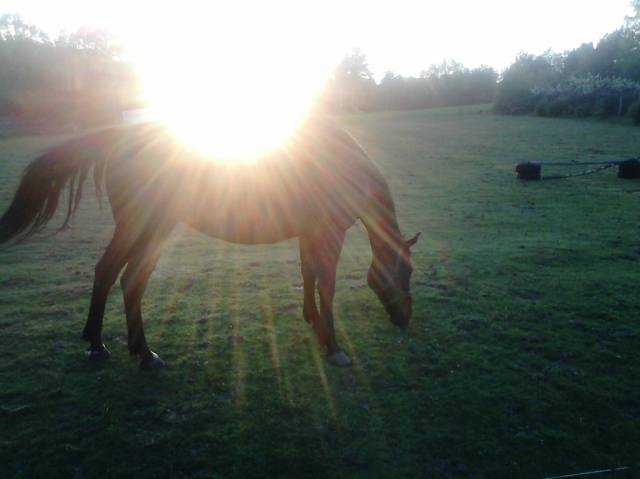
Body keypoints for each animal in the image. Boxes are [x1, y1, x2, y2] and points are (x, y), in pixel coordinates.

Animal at [0, 116, 419, 368]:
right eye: (407, 271)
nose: (405, 319)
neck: (343, 165)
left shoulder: (310, 233)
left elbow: (309, 276)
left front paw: (313, 322)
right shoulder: (329, 233)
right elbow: (327, 285)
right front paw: (333, 348)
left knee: (119, 277)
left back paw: (119, 347)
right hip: (145, 227)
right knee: (120, 277)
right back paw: (121, 350)